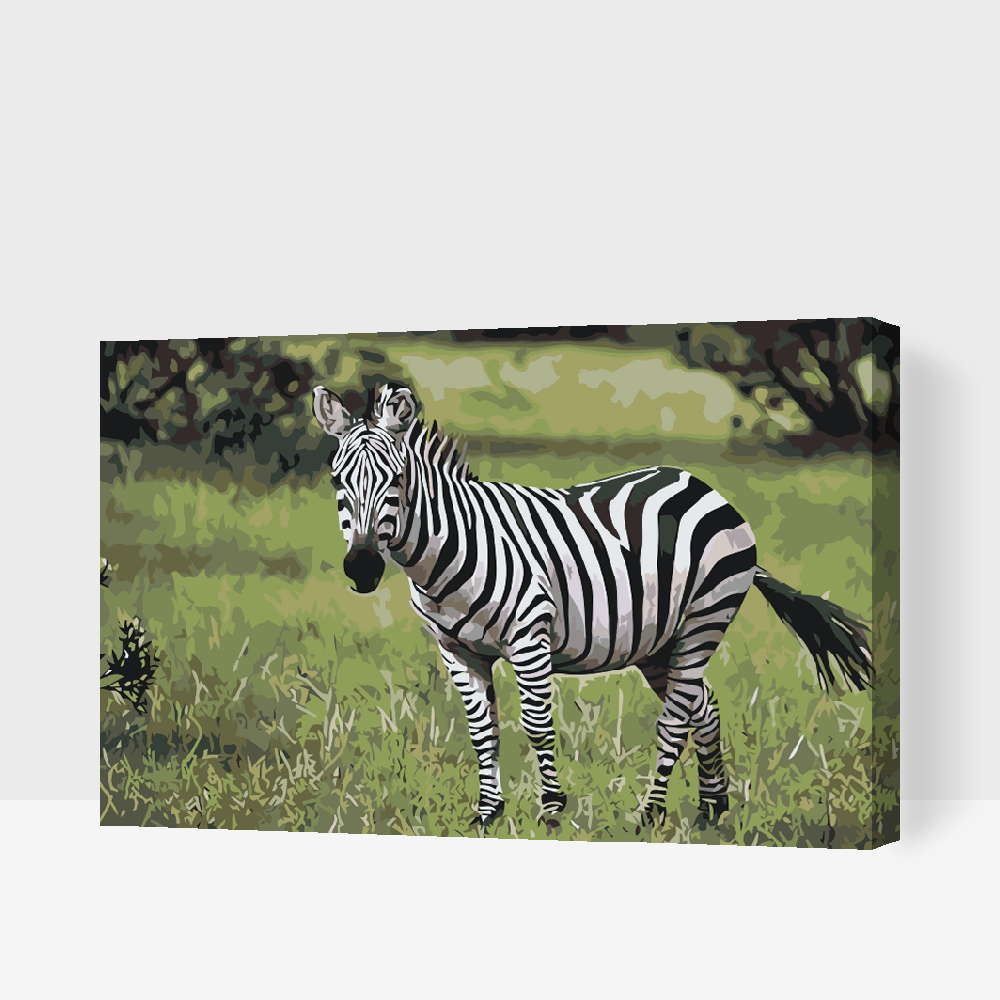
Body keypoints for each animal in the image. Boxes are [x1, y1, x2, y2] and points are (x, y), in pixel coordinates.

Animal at [312, 382, 872, 831]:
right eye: (338, 482)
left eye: (397, 479)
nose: (361, 568)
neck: (447, 552)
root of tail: (699, 483)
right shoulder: (456, 650)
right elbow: (482, 733)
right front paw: (487, 815)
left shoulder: (529, 636)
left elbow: (537, 726)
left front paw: (551, 813)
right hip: (660, 641)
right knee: (703, 706)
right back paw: (712, 811)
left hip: (705, 618)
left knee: (676, 720)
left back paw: (648, 815)